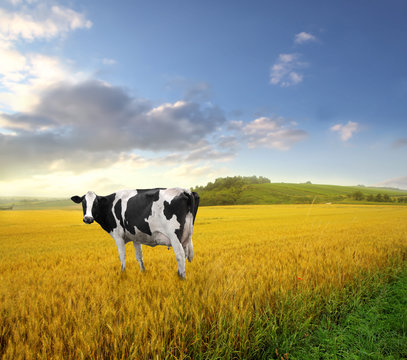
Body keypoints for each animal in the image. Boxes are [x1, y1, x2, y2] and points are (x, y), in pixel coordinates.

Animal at [73, 188, 201, 278]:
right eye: (83, 203)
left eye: (95, 203)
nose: (88, 219)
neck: (110, 205)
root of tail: (185, 191)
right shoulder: (136, 236)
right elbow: (139, 255)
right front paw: (143, 271)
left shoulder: (118, 235)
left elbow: (122, 255)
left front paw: (123, 273)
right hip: (185, 236)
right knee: (185, 254)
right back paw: (179, 274)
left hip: (174, 235)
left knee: (180, 255)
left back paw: (181, 278)